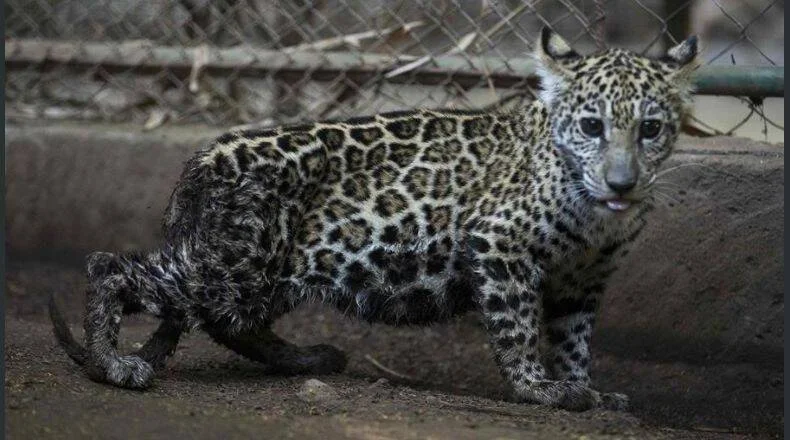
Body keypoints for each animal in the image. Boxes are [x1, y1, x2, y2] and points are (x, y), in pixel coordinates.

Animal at [50, 28, 699, 411]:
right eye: (592, 127)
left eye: (651, 129)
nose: (622, 183)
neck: (594, 218)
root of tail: (203, 162)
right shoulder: (500, 244)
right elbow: (516, 326)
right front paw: (537, 387)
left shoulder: (583, 277)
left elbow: (575, 337)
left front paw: (586, 386)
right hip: (235, 269)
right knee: (113, 267)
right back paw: (114, 364)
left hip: (258, 274)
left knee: (227, 324)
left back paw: (308, 360)